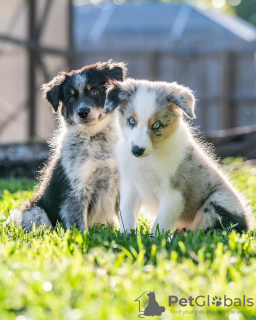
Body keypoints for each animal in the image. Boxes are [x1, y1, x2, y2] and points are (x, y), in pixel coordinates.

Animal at [12, 60, 126, 231]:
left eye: (94, 91)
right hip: (34, 211)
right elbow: (79, 224)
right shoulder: (75, 191)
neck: (96, 138)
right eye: (71, 98)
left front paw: (131, 234)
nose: (82, 112)